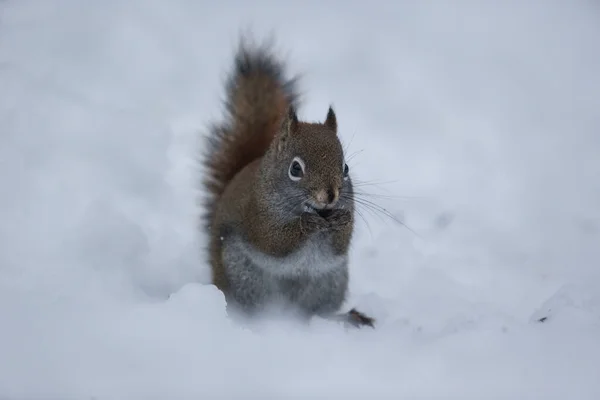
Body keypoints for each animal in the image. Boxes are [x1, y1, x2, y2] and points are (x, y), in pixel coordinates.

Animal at [199, 36, 372, 328]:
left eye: (345, 168)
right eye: (295, 168)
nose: (331, 195)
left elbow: (340, 243)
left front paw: (342, 220)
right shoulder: (256, 214)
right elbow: (273, 242)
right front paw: (307, 225)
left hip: (330, 282)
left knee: (315, 311)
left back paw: (343, 318)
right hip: (244, 277)